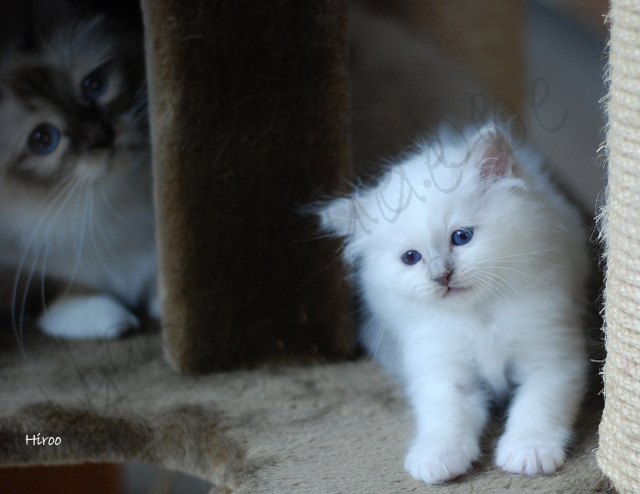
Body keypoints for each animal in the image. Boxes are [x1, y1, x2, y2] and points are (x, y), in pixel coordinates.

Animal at [0, 0, 158, 340]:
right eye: (43, 139)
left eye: (94, 86)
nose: (102, 137)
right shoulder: (15, 269)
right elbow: (51, 288)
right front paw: (110, 319)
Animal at [320, 122, 592, 482]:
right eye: (411, 258)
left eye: (462, 237)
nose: (441, 276)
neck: (479, 315)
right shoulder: (443, 372)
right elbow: (446, 419)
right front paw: (437, 459)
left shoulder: (551, 358)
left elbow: (536, 408)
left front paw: (528, 452)